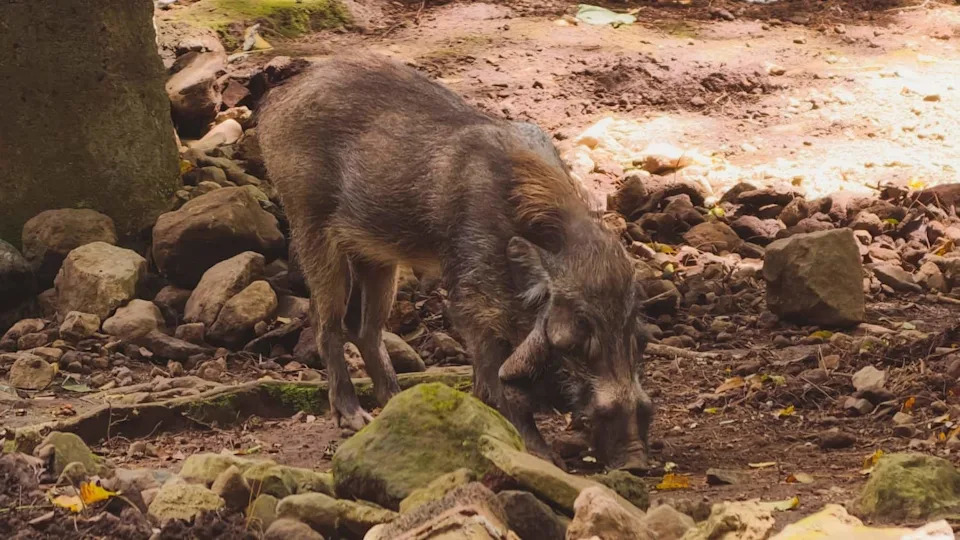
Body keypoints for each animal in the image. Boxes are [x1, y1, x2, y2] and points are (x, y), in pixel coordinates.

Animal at [256, 54, 653, 470]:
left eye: (639, 336)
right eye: (576, 337)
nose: (636, 461)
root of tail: (279, 99)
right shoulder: (470, 298)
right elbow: (492, 373)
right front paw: (542, 457)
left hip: (376, 255)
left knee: (366, 330)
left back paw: (395, 403)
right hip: (310, 225)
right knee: (326, 323)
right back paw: (354, 418)